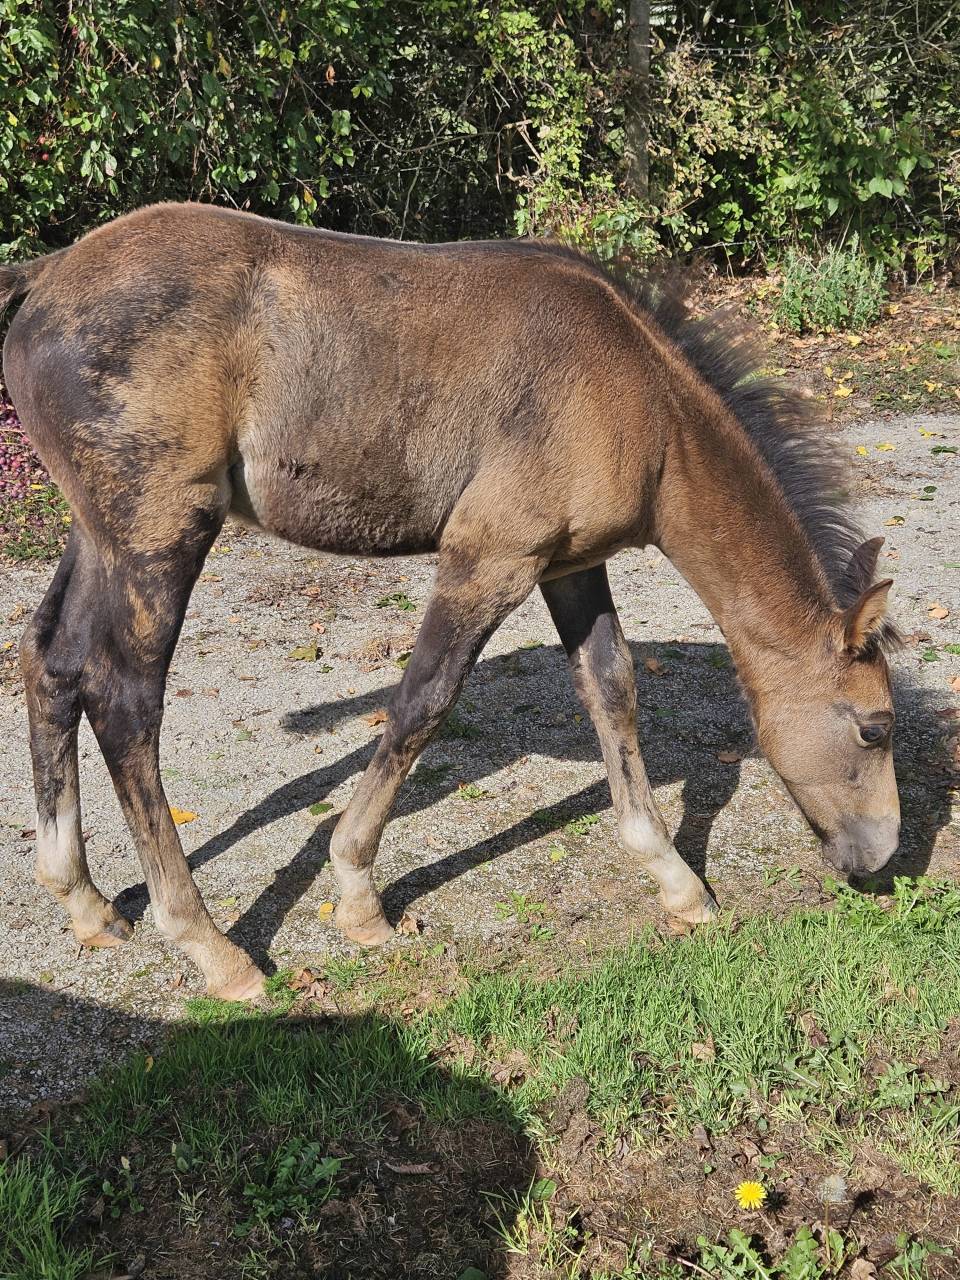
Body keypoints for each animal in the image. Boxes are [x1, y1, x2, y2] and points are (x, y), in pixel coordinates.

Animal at [1, 203, 900, 999]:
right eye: (875, 728)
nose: (882, 860)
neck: (641, 400)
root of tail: (48, 275)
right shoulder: (489, 558)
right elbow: (422, 702)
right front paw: (358, 898)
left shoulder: (570, 568)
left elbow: (612, 692)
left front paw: (677, 883)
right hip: (163, 532)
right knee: (124, 700)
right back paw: (211, 948)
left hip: (100, 533)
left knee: (52, 661)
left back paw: (85, 901)